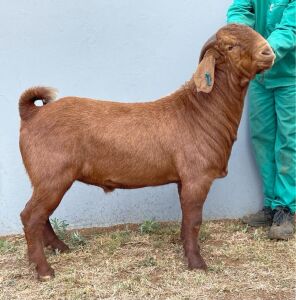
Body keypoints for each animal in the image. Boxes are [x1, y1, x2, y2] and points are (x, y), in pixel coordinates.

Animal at [19, 24, 276, 282]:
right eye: (230, 46)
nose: (268, 52)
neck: (199, 111)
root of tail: (31, 114)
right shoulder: (197, 178)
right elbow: (194, 220)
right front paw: (197, 263)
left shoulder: (183, 180)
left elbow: (186, 220)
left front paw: (185, 249)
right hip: (53, 175)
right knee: (31, 216)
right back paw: (44, 270)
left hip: (47, 180)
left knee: (41, 216)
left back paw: (60, 249)